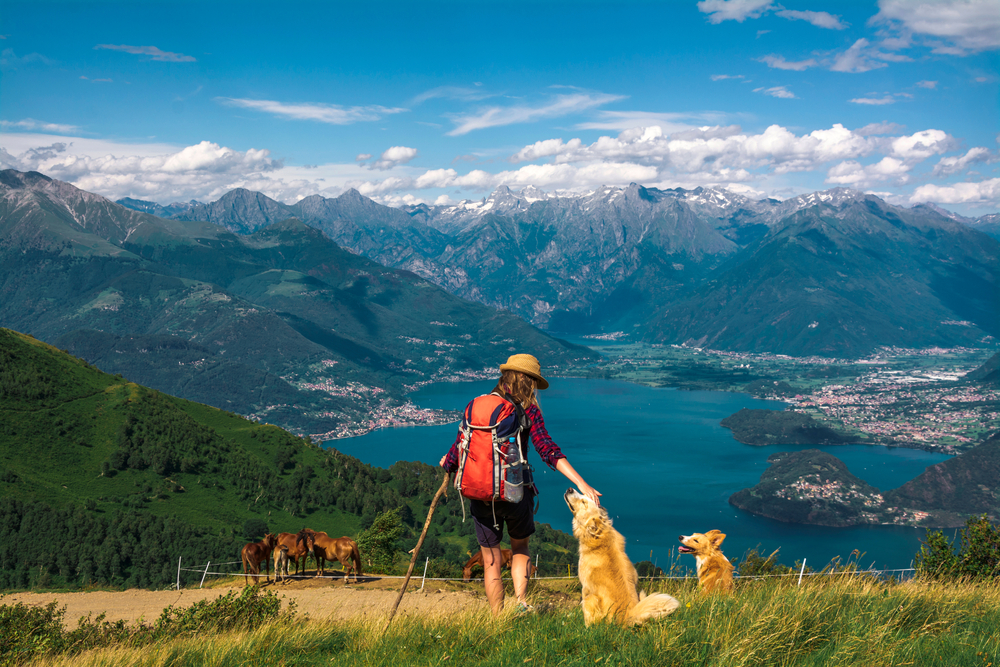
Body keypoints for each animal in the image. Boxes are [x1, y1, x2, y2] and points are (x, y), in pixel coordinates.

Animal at [564, 490, 680, 628]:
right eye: (584, 497)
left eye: (584, 502)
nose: (570, 489)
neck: (600, 535)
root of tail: (628, 617)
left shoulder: (585, 588)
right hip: (641, 594)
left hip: (590, 599)